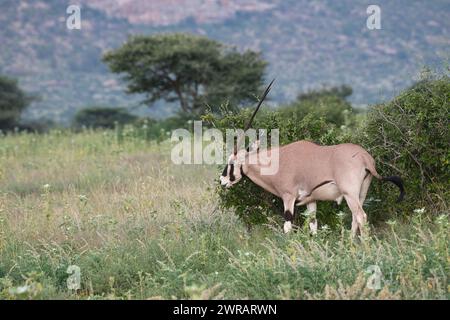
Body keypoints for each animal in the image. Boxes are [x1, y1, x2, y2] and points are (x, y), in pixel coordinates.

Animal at [221, 81, 404, 236]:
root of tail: (366, 158)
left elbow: (287, 226)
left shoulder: (289, 197)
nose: (222, 181)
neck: (276, 162)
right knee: (355, 219)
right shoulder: (311, 200)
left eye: (231, 162)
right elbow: (313, 225)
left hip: (349, 193)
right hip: (361, 192)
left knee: (360, 217)